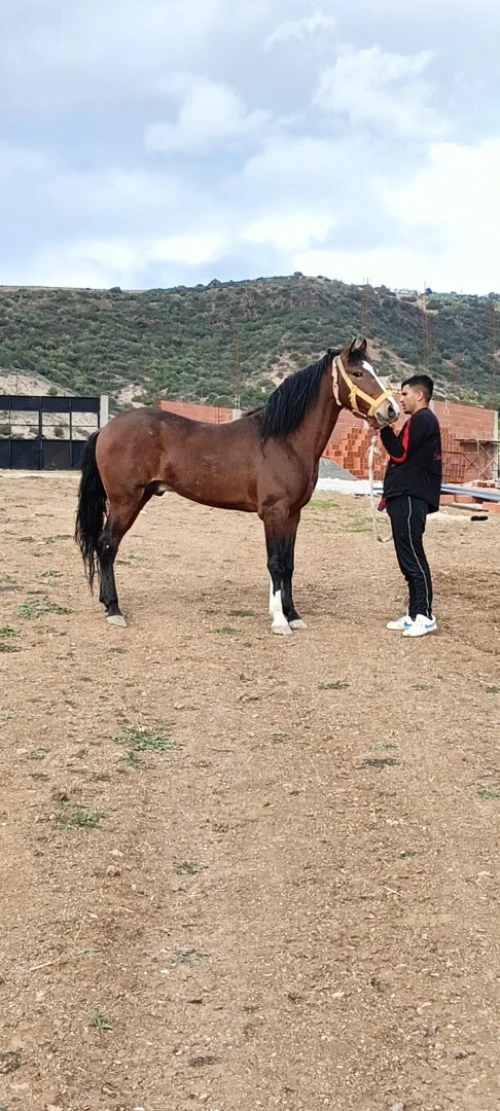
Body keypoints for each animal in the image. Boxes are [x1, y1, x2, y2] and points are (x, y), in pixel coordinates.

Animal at [74, 336, 399, 634]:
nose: (391, 410)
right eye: (357, 373)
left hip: (139, 498)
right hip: (124, 501)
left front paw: (293, 615)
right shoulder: (274, 513)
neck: (284, 440)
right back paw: (114, 609)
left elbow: (289, 564)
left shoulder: (293, 514)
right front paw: (279, 621)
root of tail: (106, 428)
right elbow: (275, 563)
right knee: (107, 545)